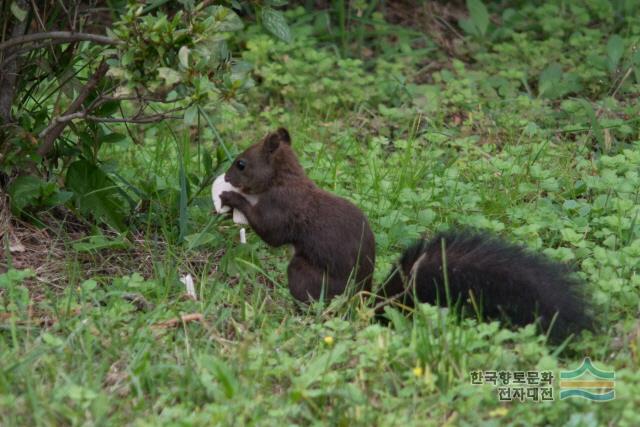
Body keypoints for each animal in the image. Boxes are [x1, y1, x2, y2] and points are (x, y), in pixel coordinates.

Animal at [222, 128, 592, 342]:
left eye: (241, 163)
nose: (226, 176)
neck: (285, 177)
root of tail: (363, 304)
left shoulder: (284, 207)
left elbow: (271, 232)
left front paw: (231, 200)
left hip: (306, 276)